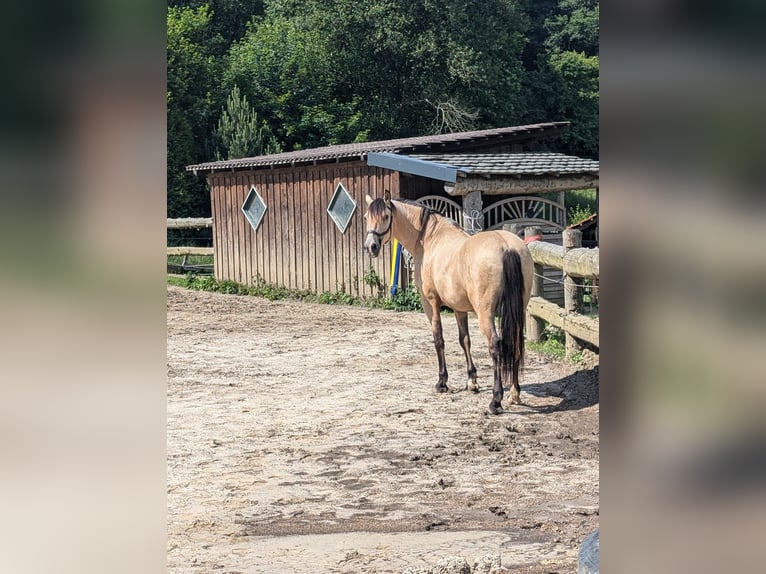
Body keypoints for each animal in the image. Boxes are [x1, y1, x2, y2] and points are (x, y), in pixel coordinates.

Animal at [364, 191, 536, 416]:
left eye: (385, 216)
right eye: (366, 217)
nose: (371, 247)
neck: (429, 239)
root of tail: (507, 247)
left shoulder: (430, 303)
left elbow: (439, 339)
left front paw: (442, 382)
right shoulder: (459, 308)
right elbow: (465, 340)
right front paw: (472, 381)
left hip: (485, 314)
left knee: (496, 345)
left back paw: (495, 401)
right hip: (519, 310)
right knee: (515, 341)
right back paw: (514, 393)